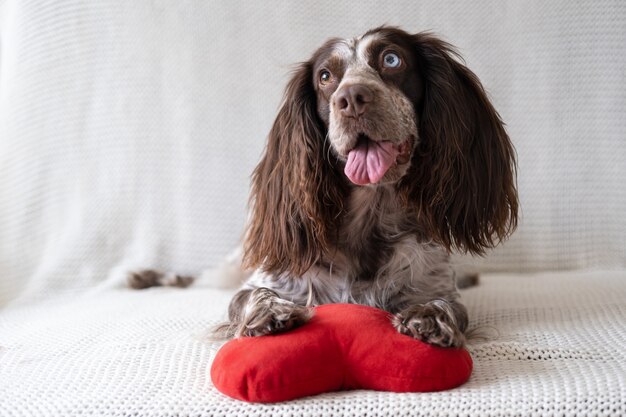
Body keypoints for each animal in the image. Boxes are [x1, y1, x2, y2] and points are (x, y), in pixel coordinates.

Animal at [129, 26, 516, 348]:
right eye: (326, 76)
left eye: (391, 59)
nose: (352, 98)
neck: (368, 219)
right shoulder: (265, 280)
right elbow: (251, 296)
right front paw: (270, 314)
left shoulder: (435, 283)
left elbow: (445, 304)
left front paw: (429, 317)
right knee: (200, 278)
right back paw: (147, 276)